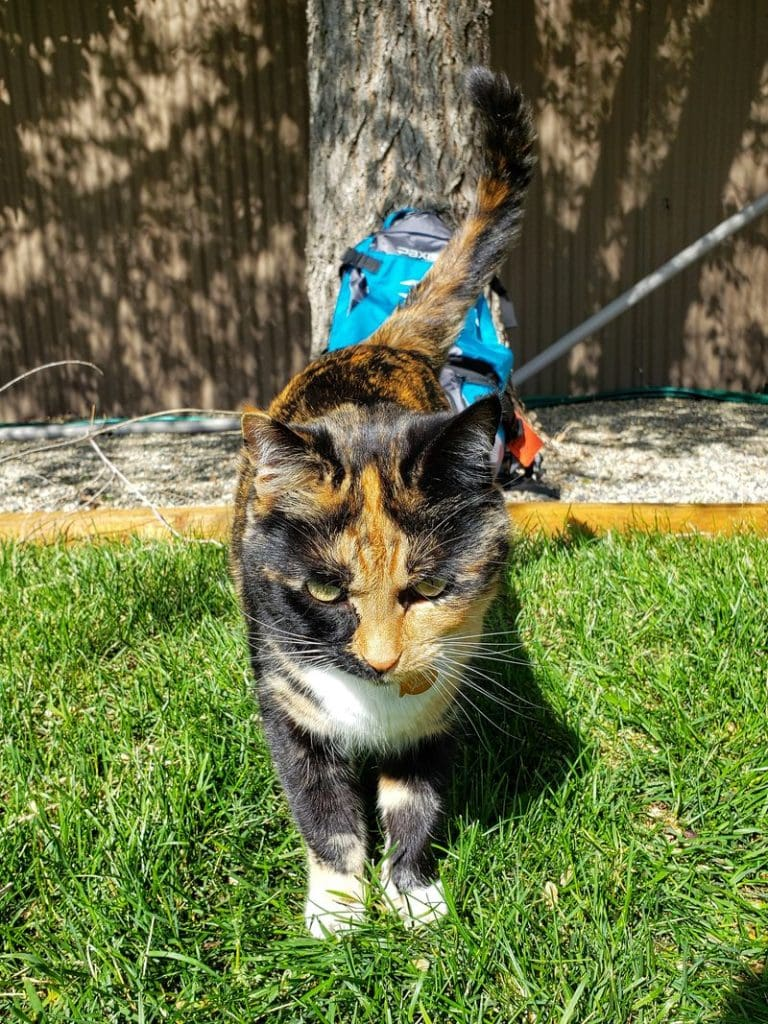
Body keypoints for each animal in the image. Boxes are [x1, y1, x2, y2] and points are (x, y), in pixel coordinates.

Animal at [230, 67, 535, 937]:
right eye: (325, 589)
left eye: (429, 586)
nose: (381, 659)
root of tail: (382, 343)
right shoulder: (288, 708)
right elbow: (324, 814)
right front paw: (337, 912)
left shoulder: (440, 708)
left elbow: (416, 803)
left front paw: (412, 896)